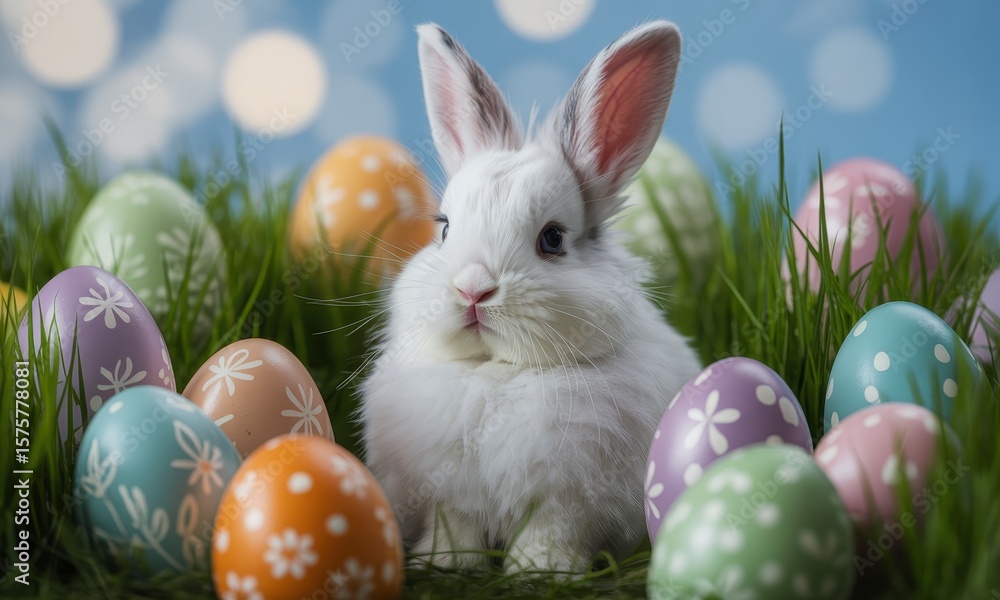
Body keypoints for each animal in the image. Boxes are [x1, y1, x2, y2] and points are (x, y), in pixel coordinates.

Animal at [359, 20, 701, 574]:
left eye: (553, 239)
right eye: (445, 229)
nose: (472, 289)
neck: (496, 372)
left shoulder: (566, 499)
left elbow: (549, 532)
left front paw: (542, 571)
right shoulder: (447, 495)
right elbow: (454, 527)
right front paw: (446, 564)